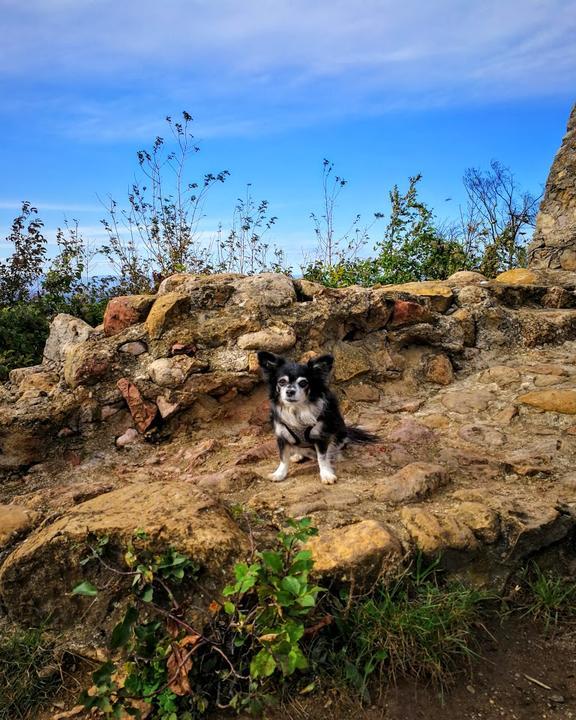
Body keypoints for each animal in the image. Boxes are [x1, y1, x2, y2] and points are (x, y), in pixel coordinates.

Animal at [258, 350, 378, 484]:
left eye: (303, 383)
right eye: (281, 382)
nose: (290, 392)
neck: (297, 410)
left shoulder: (321, 436)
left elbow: (322, 457)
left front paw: (326, 474)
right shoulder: (282, 436)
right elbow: (283, 458)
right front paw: (279, 474)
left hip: (340, 432)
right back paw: (297, 455)